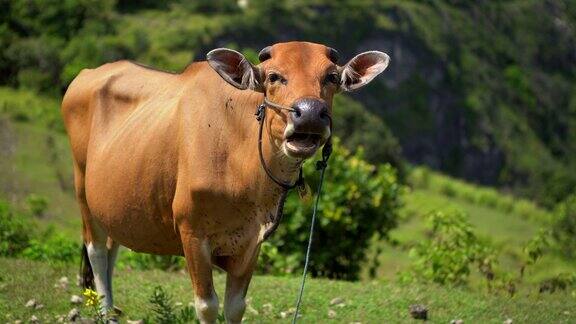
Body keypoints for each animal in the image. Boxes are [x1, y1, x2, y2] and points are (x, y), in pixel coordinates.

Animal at [60, 41, 390, 322]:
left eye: (331, 77)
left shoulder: (252, 240)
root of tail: (84, 76)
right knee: (96, 250)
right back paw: (105, 312)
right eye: (274, 76)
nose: (309, 114)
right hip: (81, 186)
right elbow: (207, 306)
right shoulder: (192, 234)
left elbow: (235, 306)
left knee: (112, 247)